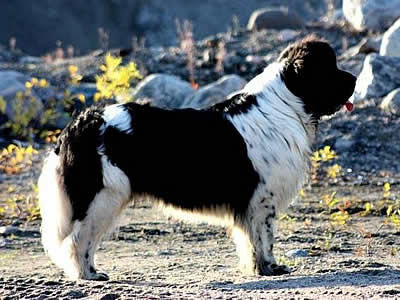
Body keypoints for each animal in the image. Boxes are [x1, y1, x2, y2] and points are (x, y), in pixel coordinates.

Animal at [38, 36, 356, 280]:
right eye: (331, 69)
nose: (354, 78)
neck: (285, 104)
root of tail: (81, 124)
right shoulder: (261, 199)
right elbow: (264, 239)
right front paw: (271, 268)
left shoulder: (251, 204)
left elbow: (250, 241)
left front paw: (257, 269)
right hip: (103, 198)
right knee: (78, 241)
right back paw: (88, 275)